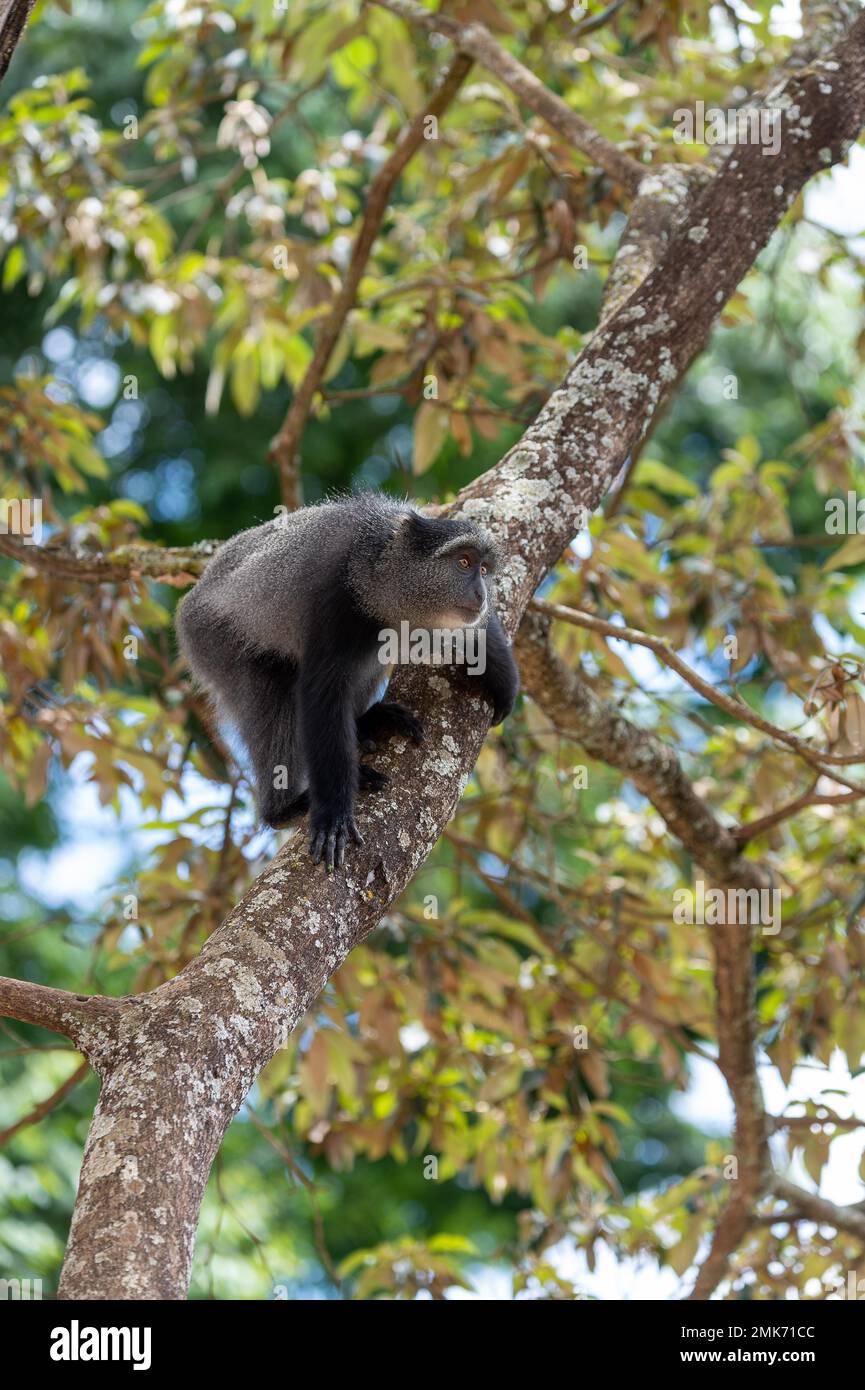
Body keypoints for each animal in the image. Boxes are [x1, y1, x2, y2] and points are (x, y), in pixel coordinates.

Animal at [176, 493, 519, 870]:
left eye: (484, 570)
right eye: (463, 562)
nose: (481, 594)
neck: (381, 565)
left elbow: (475, 630)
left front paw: (504, 677)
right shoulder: (337, 596)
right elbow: (322, 693)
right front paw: (333, 817)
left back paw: (368, 720)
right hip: (215, 642)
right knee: (275, 691)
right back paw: (284, 809)